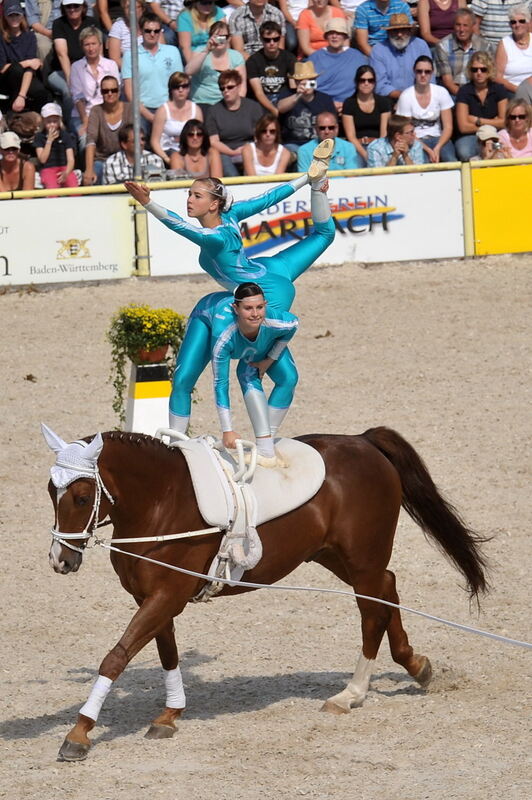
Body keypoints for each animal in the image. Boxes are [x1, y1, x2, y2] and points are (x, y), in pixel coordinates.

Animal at [45, 428, 486, 760]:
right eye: (51, 491)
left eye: (82, 497)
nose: (60, 561)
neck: (160, 503)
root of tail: (363, 441)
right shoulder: (153, 598)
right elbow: (166, 652)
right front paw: (170, 715)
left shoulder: (167, 595)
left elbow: (116, 656)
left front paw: (79, 734)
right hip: (333, 556)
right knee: (387, 590)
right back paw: (417, 666)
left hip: (360, 558)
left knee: (372, 609)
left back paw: (351, 695)